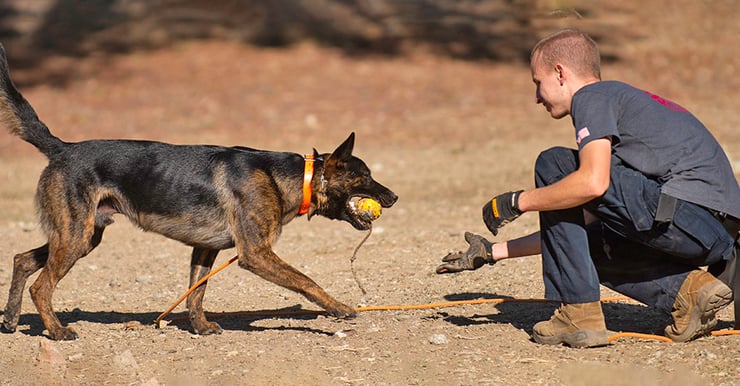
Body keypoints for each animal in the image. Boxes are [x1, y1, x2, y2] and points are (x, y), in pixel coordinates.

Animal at [0, 44, 398, 340]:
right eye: (365, 176)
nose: (394, 197)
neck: (287, 176)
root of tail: (62, 148)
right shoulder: (256, 253)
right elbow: (307, 280)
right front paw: (339, 308)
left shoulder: (205, 248)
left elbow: (196, 292)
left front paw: (199, 327)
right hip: (75, 236)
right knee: (41, 286)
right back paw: (56, 330)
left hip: (80, 235)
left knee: (21, 259)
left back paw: (10, 319)